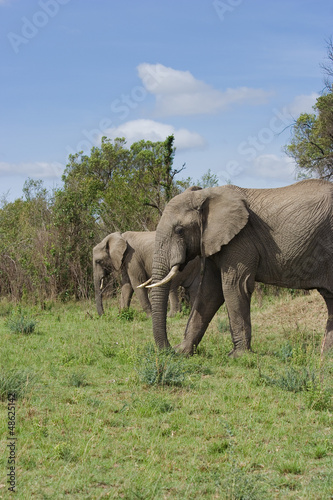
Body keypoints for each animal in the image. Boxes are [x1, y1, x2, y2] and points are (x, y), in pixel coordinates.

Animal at [148, 180, 332, 356]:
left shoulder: (240, 239)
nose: (168, 350)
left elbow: (234, 286)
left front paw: (238, 356)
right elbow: (209, 291)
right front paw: (183, 351)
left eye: (179, 230)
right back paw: (325, 357)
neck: (206, 194)